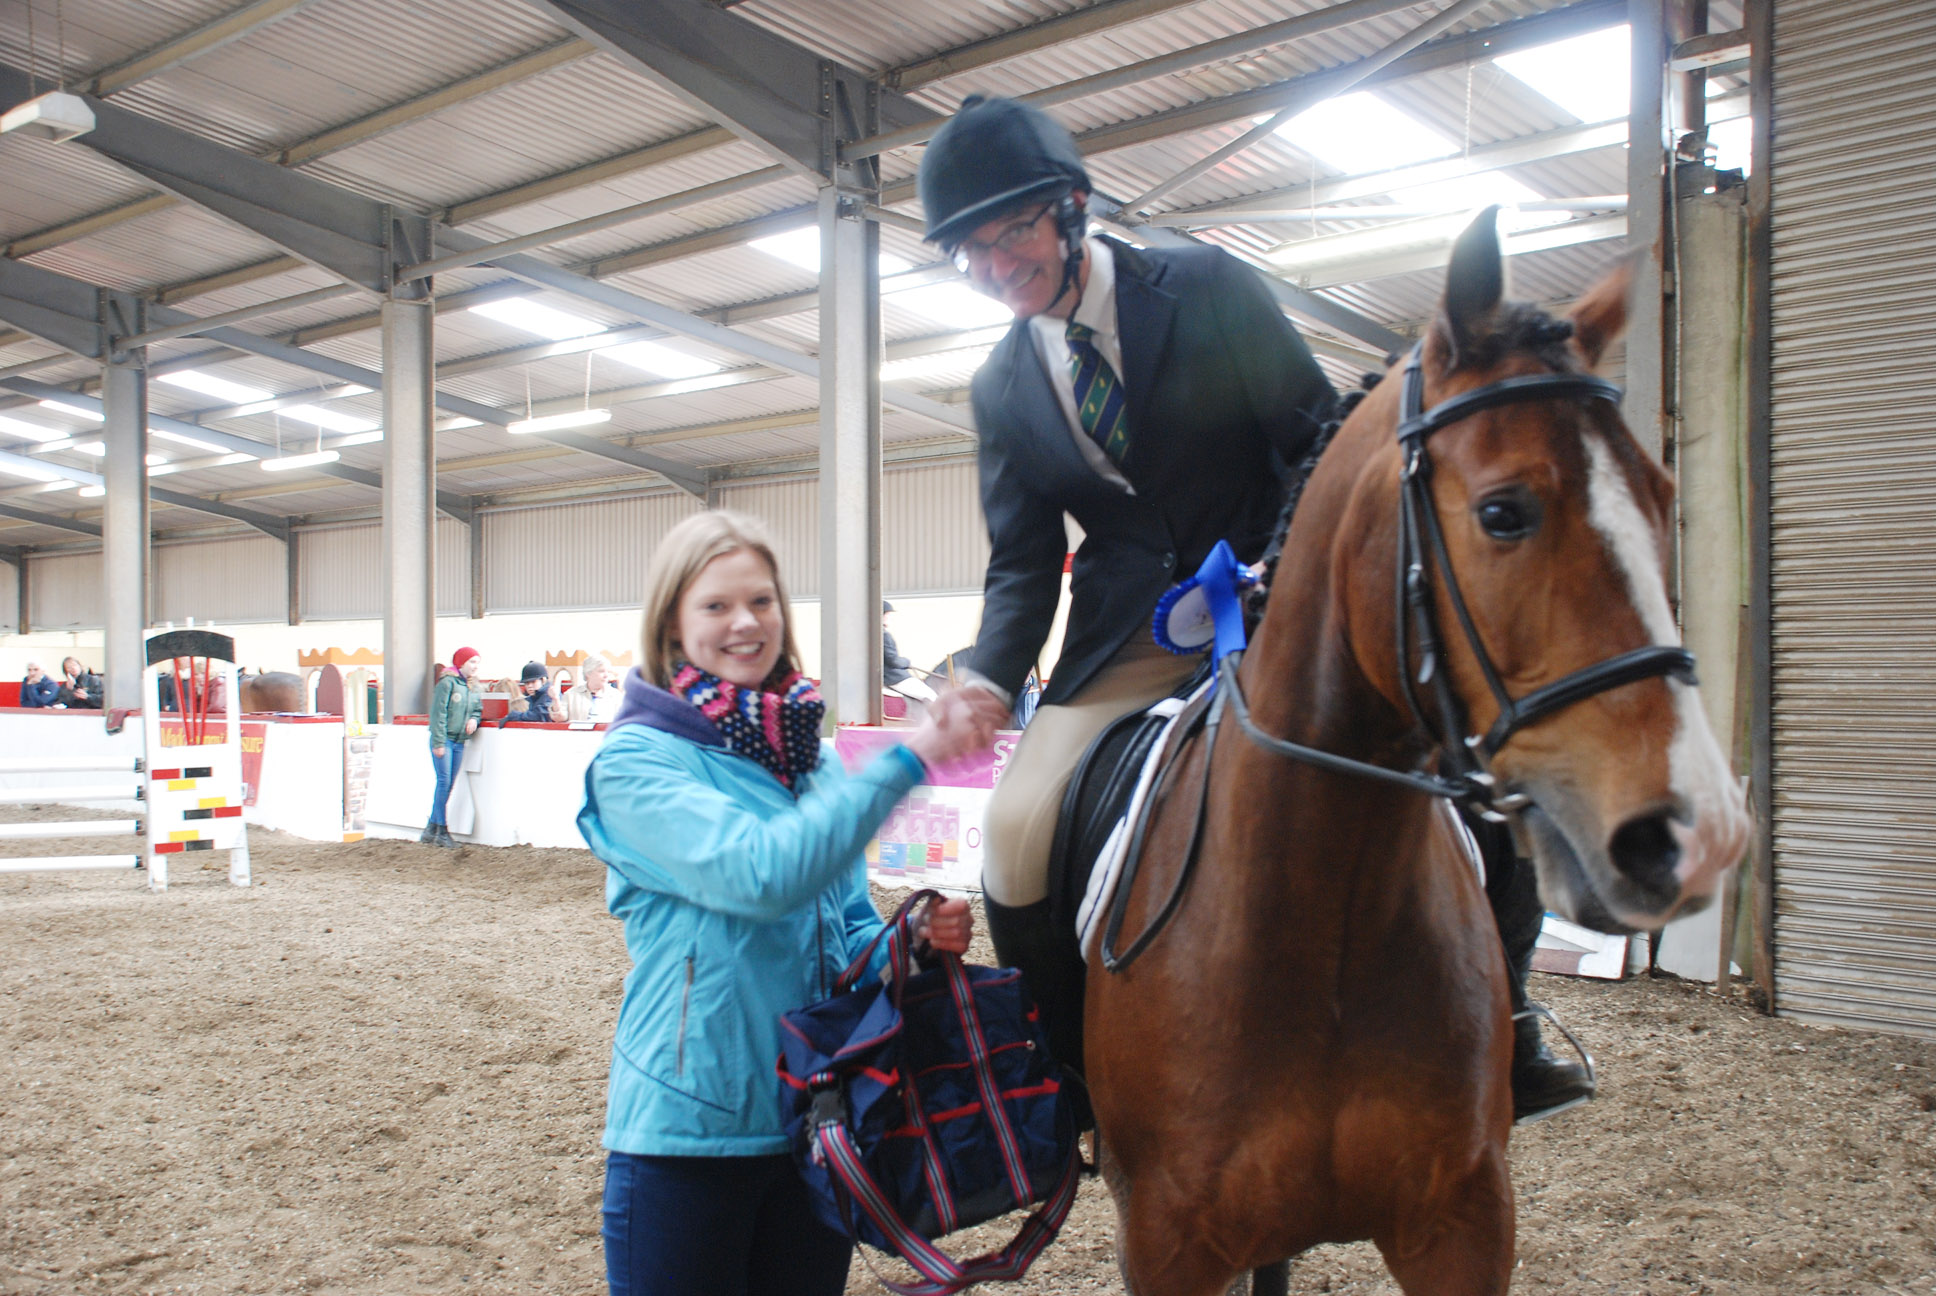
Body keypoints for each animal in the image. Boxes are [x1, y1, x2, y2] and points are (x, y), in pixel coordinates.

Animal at [1083, 210, 1753, 1296]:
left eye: (1661, 496)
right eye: (1502, 511)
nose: (1697, 836)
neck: (1324, 908)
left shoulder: (1463, 1222)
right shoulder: (1169, 1242)